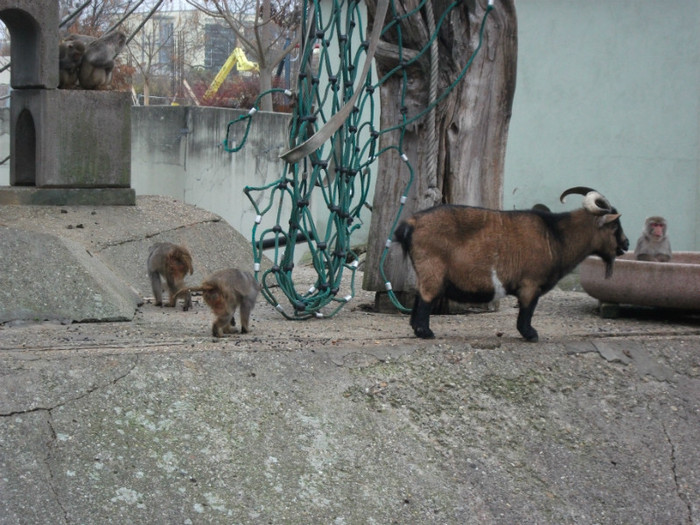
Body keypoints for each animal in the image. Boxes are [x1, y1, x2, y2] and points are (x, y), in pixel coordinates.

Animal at [394, 186, 628, 342]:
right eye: (615, 225)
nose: (626, 243)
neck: (556, 234)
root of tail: (411, 224)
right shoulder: (531, 284)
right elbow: (527, 311)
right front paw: (531, 335)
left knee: (419, 298)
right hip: (432, 269)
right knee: (426, 298)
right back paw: (426, 333)